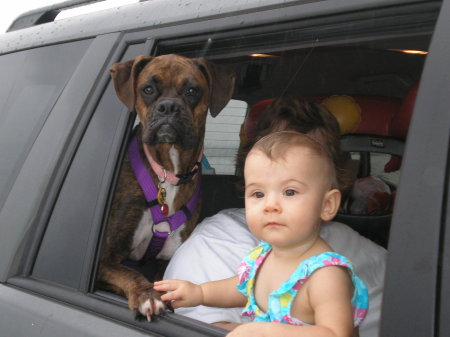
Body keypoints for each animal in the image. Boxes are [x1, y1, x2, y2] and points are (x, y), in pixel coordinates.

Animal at [97, 53, 236, 320]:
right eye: (148, 89)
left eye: (192, 90)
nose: (168, 107)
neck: (168, 173)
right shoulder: (104, 260)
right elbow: (129, 273)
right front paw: (146, 295)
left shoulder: (167, 261)